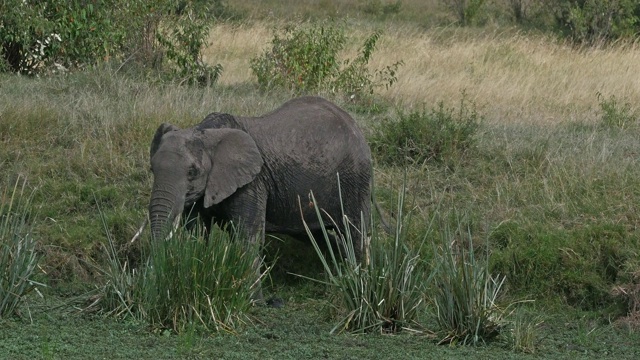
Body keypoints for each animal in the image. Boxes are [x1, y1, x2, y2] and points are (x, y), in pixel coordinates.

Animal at [148, 97, 372, 300]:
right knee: (317, 235)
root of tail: (352, 123)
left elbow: (247, 236)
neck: (205, 131)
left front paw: (252, 302)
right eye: (152, 169)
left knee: (355, 231)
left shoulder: (253, 182)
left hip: (355, 178)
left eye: (192, 172)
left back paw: (358, 279)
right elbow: (196, 234)